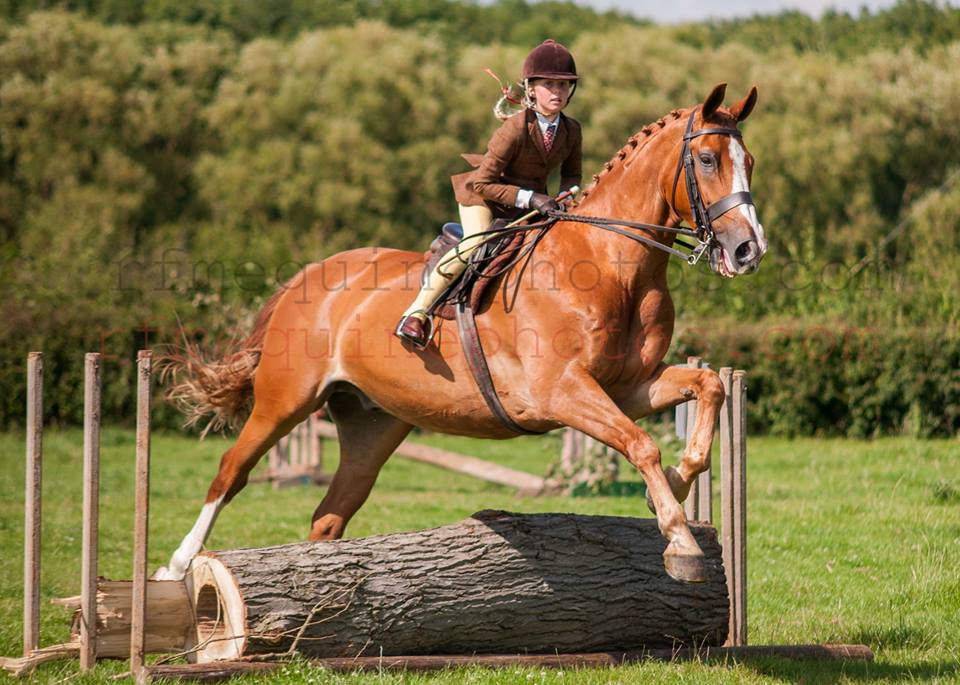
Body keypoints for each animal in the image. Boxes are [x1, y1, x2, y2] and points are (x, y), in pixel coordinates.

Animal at [156, 80, 764, 584]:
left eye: (750, 162)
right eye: (706, 159)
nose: (747, 251)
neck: (610, 262)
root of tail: (306, 276)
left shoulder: (625, 387)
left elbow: (707, 388)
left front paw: (679, 488)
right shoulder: (563, 391)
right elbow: (641, 444)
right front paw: (681, 541)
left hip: (372, 423)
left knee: (330, 514)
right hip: (286, 399)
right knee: (231, 472)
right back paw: (178, 566)